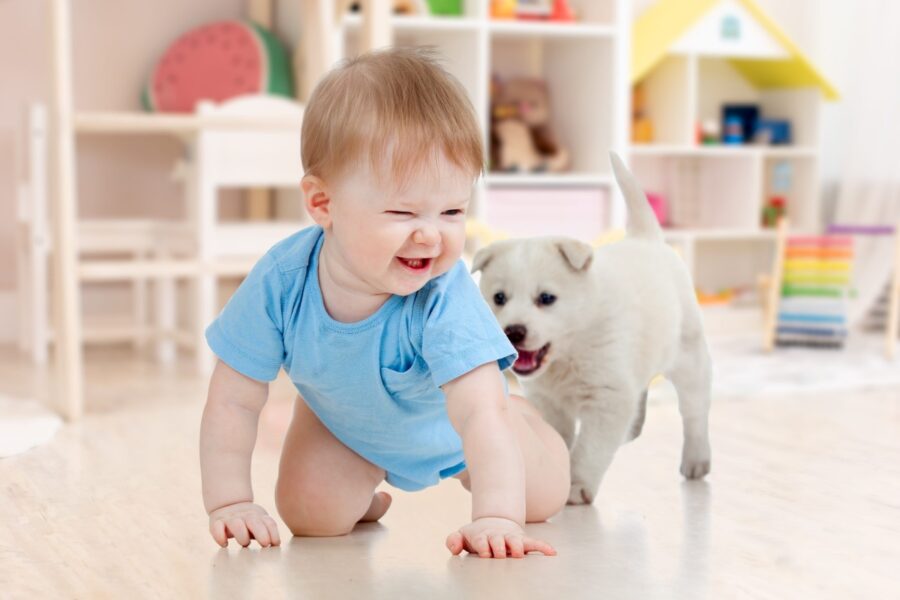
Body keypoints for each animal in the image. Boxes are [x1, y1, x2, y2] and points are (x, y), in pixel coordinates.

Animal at [474, 152, 712, 504]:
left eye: (546, 298)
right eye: (499, 298)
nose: (512, 331)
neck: (570, 351)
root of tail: (647, 240)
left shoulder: (606, 398)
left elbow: (589, 448)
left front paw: (576, 485)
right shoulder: (546, 400)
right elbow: (558, 437)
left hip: (689, 358)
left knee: (695, 412)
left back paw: (697, 459)